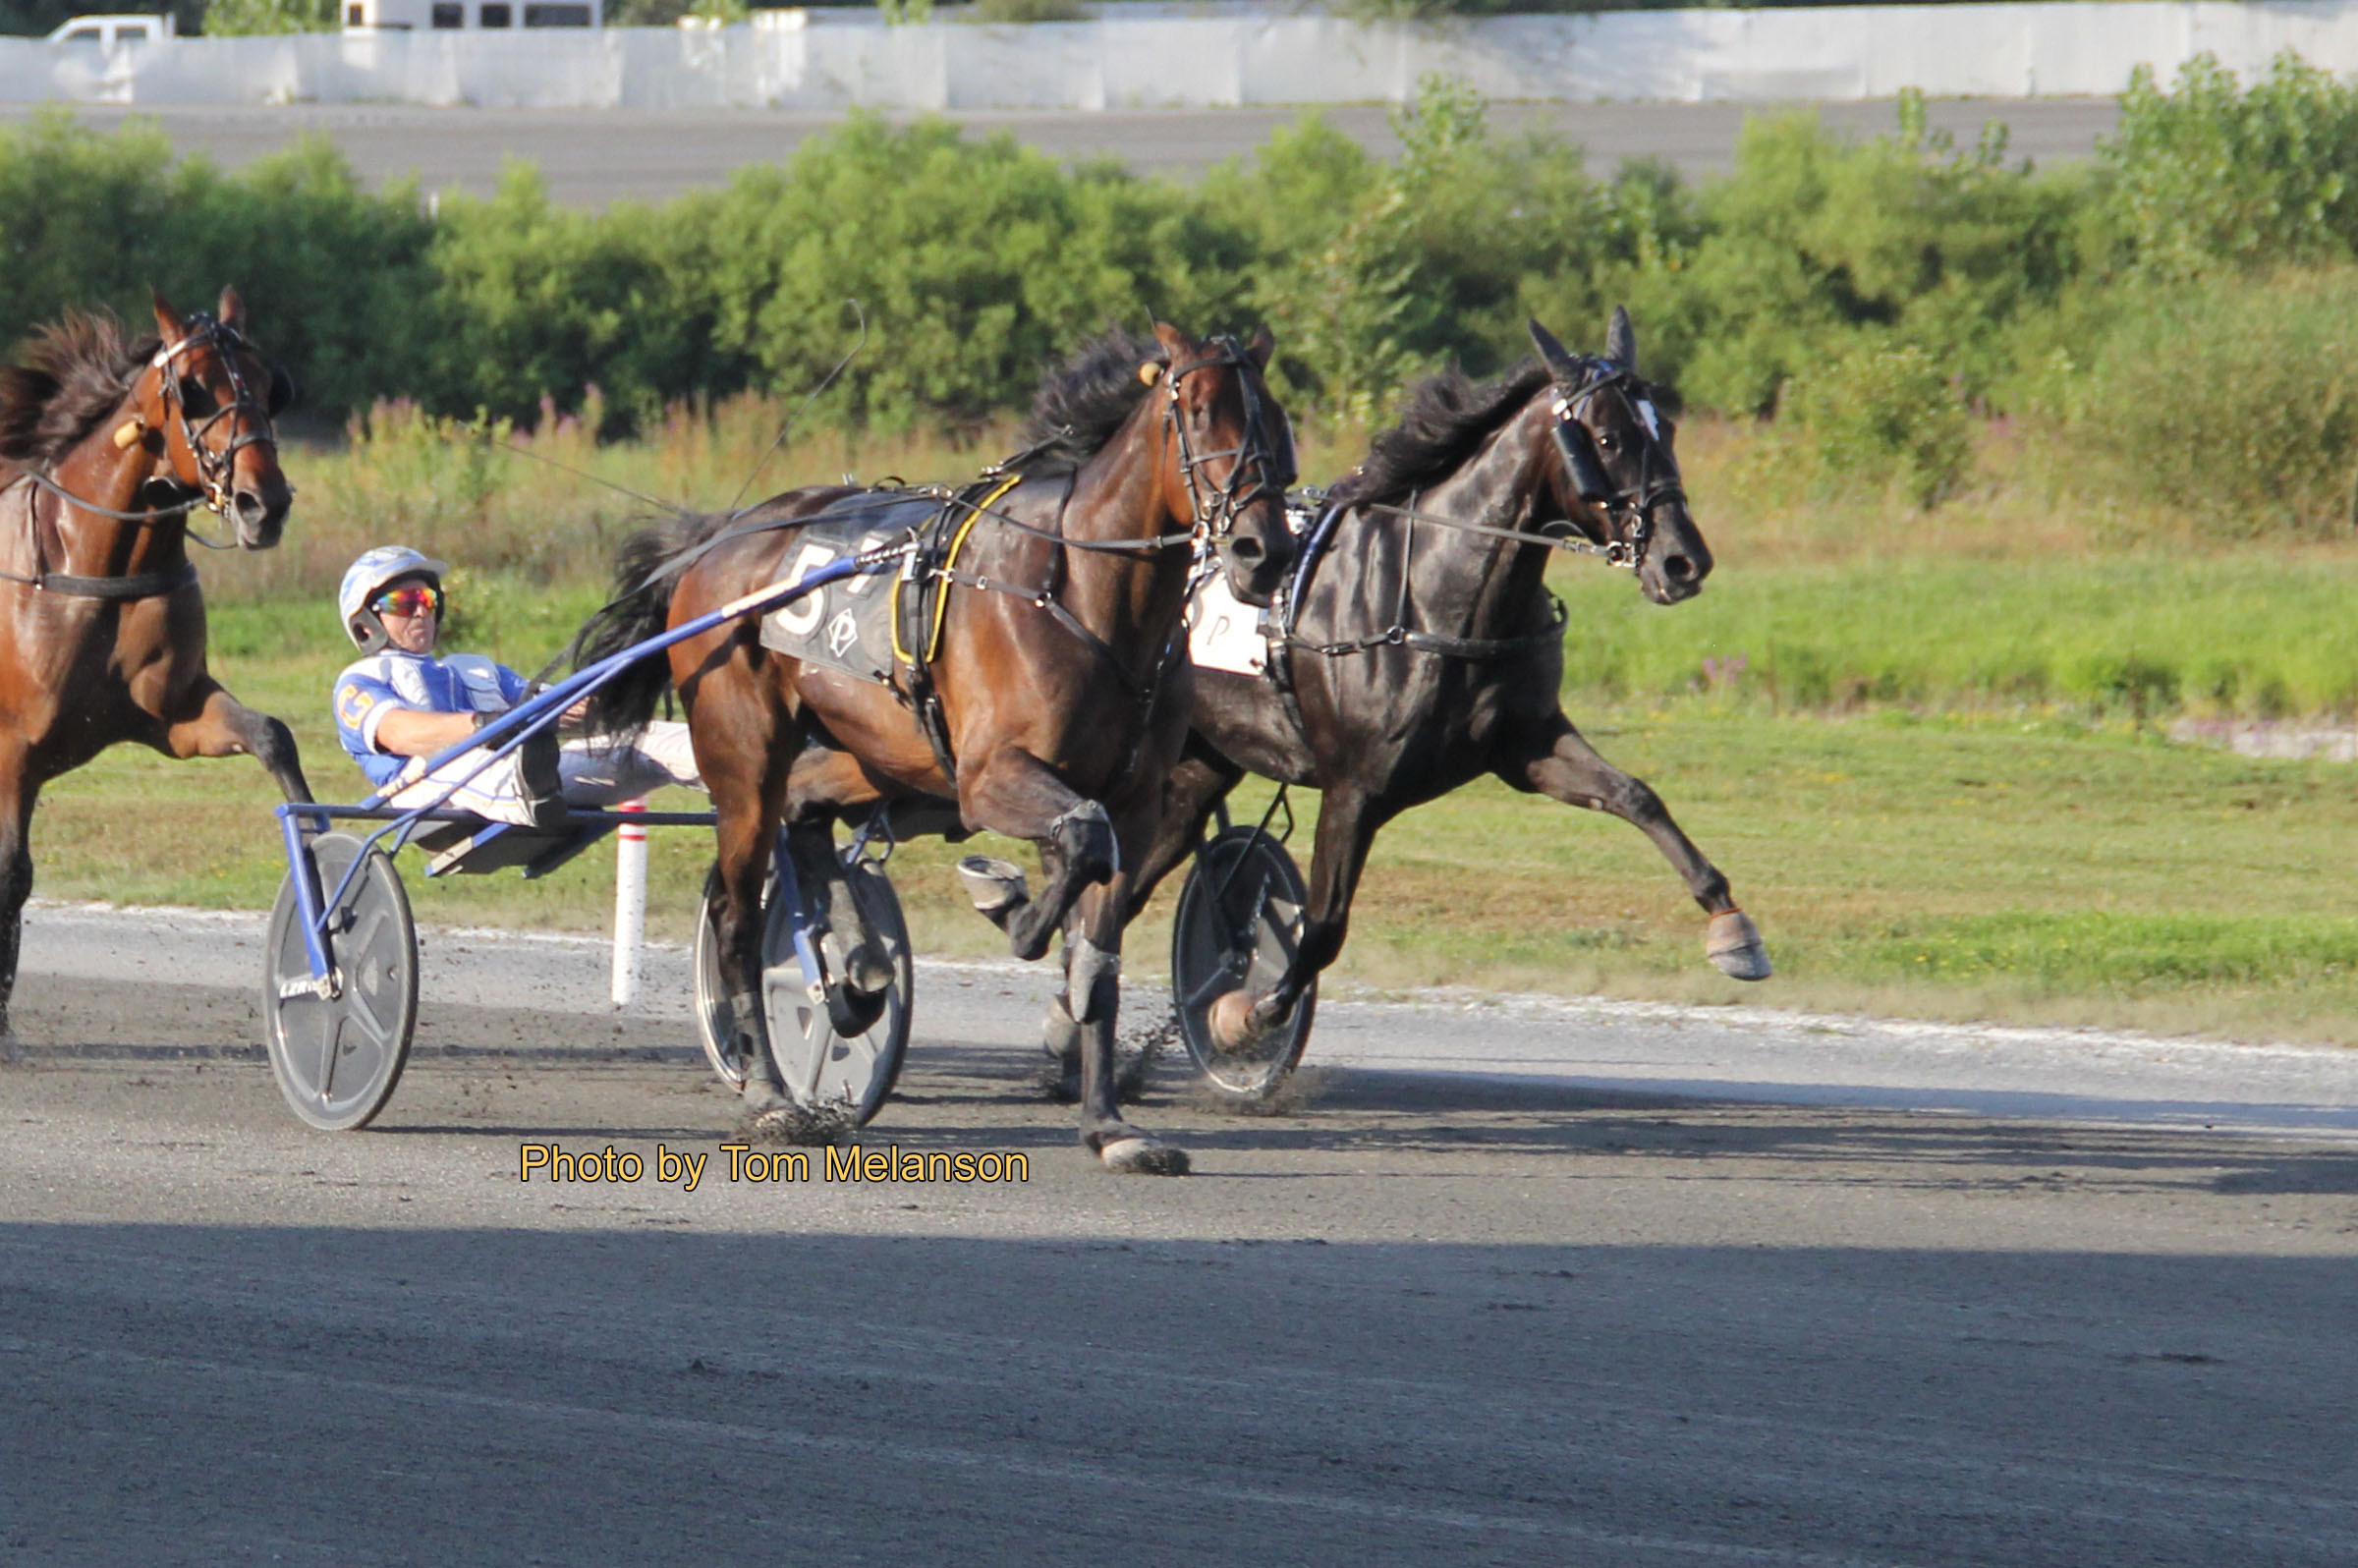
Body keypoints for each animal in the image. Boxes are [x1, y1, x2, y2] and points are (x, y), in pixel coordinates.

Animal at [0, 288, 310, 1036]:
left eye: (271, 385)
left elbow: (270, 737)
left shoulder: (172, 715)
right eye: (193, 389)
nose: (264, 503)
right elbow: (11, 876)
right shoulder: (13, 749)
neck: (90, 564)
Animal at [580, 322, 1296, 1172]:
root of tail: (721, 538)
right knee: (736, 910)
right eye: (1198, 410)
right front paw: (1009, 904)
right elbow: (1080, 838)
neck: (1082, 593)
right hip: (744, 753)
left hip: (878, 751)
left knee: (806, 810)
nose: (1263, 551)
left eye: (1276, 417)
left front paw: (1109, 1125)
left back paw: (859, 973)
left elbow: (1098, 958)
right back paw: (771, 1093)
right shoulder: (990, 776)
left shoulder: (1136, 801)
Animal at [1093, 310, 1770, 1071]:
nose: (1685, 561)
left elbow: (1637, 796)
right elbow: (1321, 928)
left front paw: (1732, 925)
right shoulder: (1354, 788)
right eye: (1606, 438)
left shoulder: (1526, 746)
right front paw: (1250, 1012)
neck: (1433, 595)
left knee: (1137, 874)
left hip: (1199, 762)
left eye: (1668, 429)